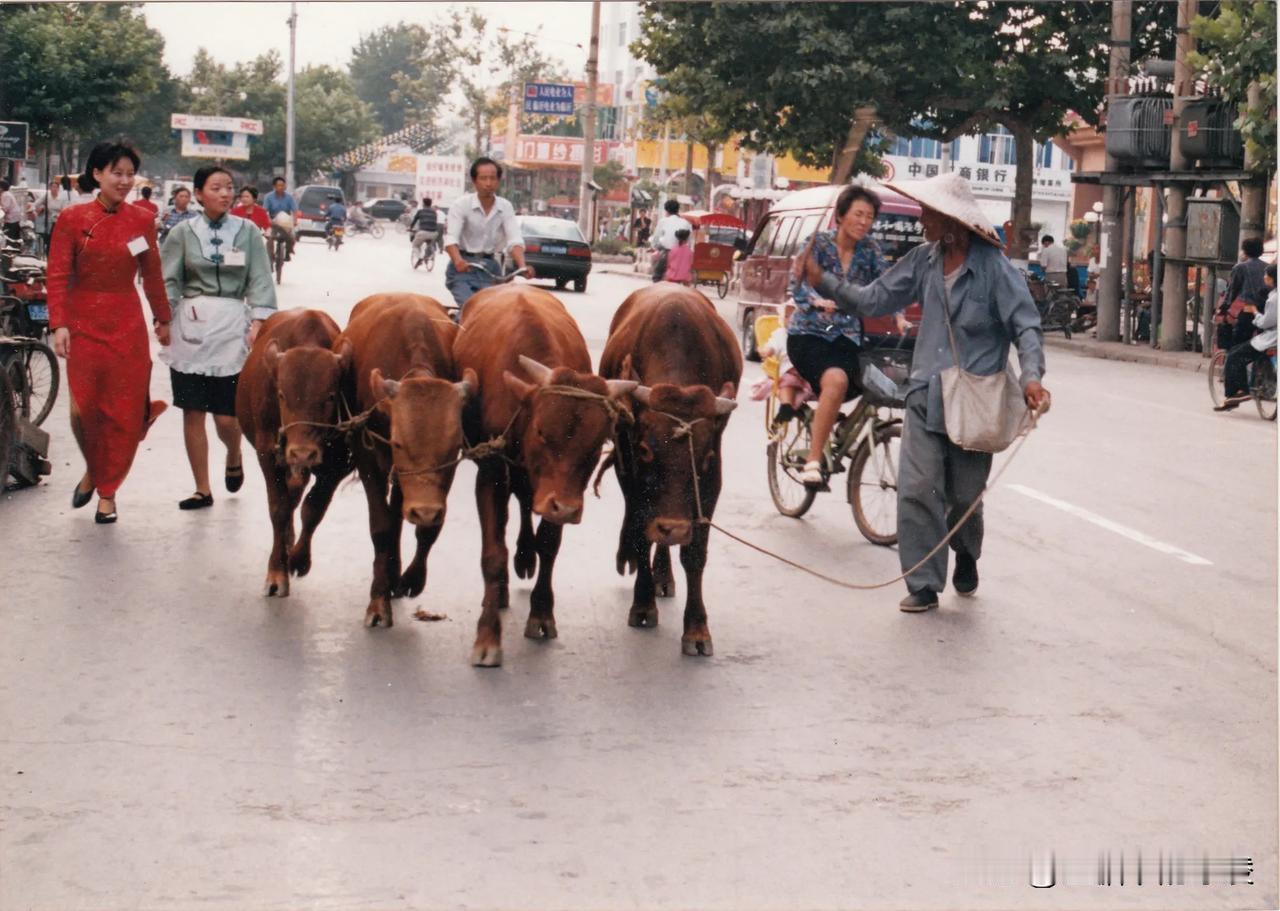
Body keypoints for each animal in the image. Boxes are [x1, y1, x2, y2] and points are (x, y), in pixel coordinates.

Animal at [235, 309, 353, 598]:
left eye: (330, 396)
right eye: (281, 395)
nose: (302, 453)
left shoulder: (336, 466)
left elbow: (313, 507)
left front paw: (299, 559)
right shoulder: (269, 455)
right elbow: (278, 508)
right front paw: (277, 571)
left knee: (296, 493)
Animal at [337, 291, 478, 626]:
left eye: (453, 444)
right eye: (398, 443)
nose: (424, 510)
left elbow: (425, 529)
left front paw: (411, 579)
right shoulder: (367, 458)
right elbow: (380, 526)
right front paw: (378, 601)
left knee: (399, 514)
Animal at [453, 284, 637, 670]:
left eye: (598, 442)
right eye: (540, 430)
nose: (564, 509)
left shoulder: (563, 492)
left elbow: (549, 545)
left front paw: (540, 614)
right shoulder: (491, 473)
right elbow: (493, 553)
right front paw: (488, 637)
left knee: (527, 506)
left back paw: (525, 558)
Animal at [596, 284, 742, 655]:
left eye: (704, 458)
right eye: (646, 450)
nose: (673, 528)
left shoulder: (711, 482)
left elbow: (695, 553)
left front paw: (697, 629)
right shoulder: (629, 466)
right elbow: (639, 532)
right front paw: (643, 604)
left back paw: (664, 574)